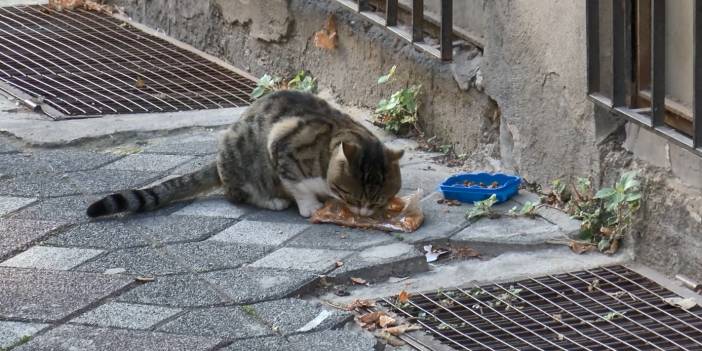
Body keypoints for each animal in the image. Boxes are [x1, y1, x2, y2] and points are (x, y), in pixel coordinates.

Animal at [87, 89, 404, 219]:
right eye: (354, 197)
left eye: (379, 200)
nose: (363, 213)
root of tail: (218, 163)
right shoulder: (281, 144)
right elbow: (298, 185)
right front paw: (311, 206)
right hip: (241, 161)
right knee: (236, 194)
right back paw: (272, 200)